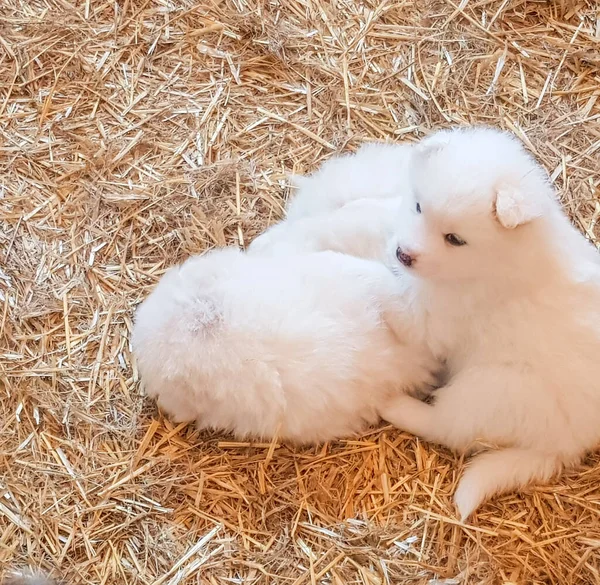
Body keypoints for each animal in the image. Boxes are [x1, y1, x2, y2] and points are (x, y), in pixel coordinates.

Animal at [378, 125, 600, 516]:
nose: (404, 254)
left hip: (486, 390)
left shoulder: (434, 320)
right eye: (418, 206)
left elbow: (399, 299)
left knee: (446, 427)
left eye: (454, 239)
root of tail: (567, 446)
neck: (494, 263)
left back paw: (395, 406)